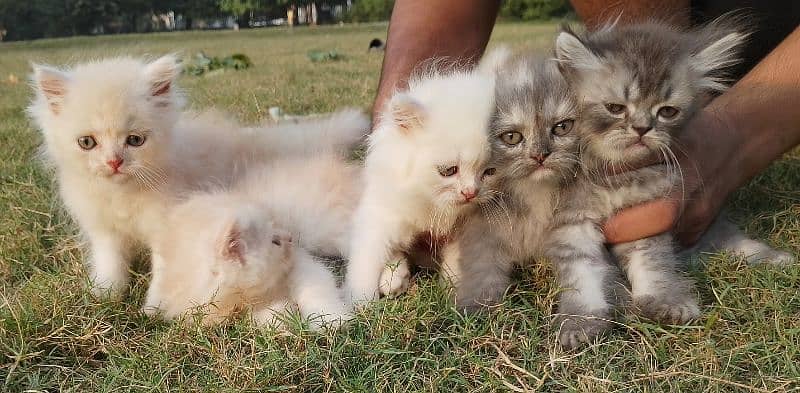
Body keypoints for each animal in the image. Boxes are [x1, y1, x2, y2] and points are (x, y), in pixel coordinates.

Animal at [28, 54, 368, 294]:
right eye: (87, 143)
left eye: (135, 140)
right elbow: (109, 262)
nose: (114, 162)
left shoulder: (168, 223)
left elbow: (164, 270)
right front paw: (105, 295)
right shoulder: (104, 231)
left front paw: (153, 306)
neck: (122, 194)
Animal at [142, 155, 358, 326]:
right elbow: (267, 316)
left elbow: (315, 287)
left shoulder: (301, 261)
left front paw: (331, 322)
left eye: (275, 224)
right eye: (275, 241)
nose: (290, 236)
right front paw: (282, 322)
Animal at [346, 66, 500, 302]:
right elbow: (366, 264)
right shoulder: (381, 215)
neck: (433, 204)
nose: (470, 192)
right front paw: (361, 304)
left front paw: (453, 294)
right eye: (449, 171)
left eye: (490, 172)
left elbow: (457, 263)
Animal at [552, 18, 756, 344]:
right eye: (615, 108)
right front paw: (580, 322)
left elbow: (652, 264)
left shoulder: (643, 217)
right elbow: (581, 276)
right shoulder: (571, 224)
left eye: (667, 111)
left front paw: (666, 302)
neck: (615, 177)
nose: (641, 128)